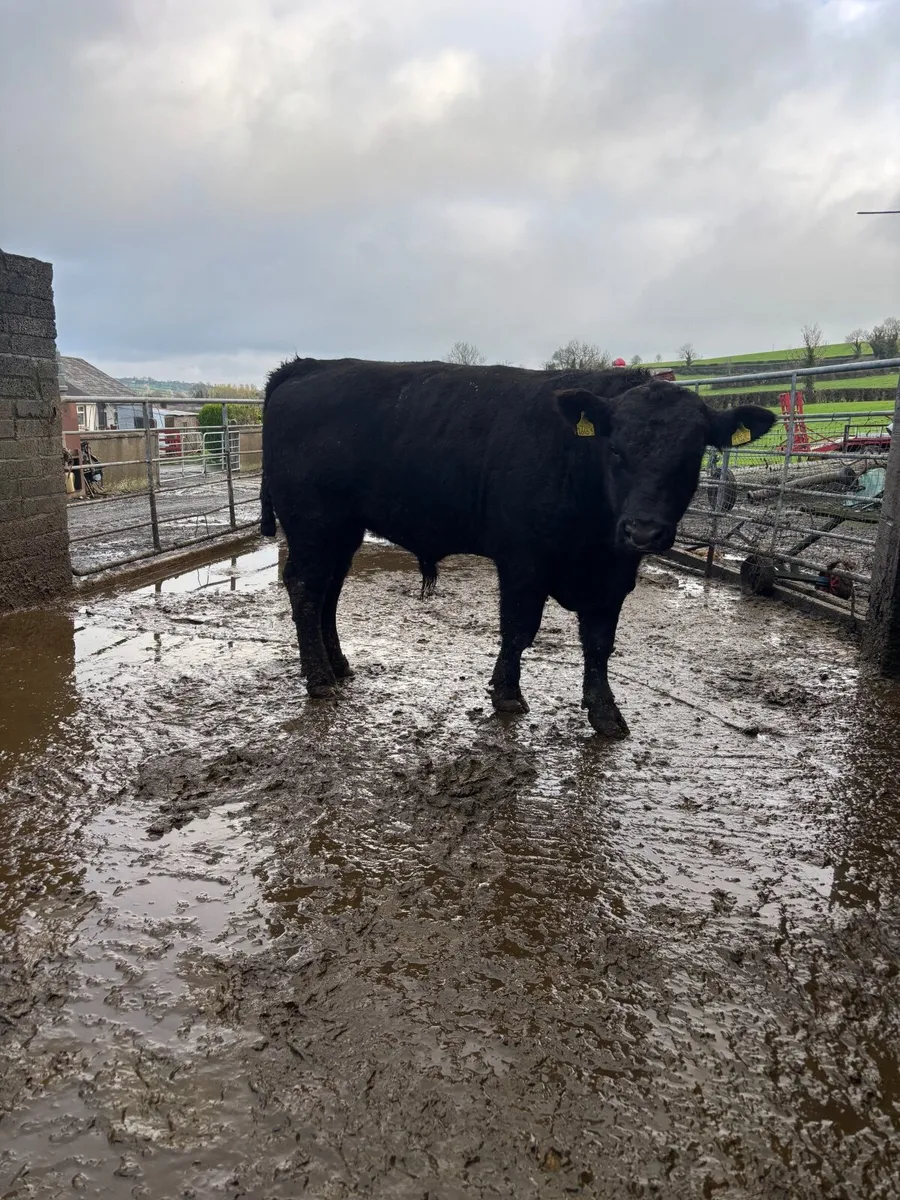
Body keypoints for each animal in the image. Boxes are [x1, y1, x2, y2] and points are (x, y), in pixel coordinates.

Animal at [260, 358, 774, 737]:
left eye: (692, 455)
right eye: (615, 449)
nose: (643, 531)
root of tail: (307, 366)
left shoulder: (613, 574)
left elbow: (599, 643)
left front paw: (605, 713)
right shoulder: (523, 560)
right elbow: (519, 629)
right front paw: (506, 693)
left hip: (342, 530)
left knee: (329, 592)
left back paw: (339, 665)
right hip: (313, 523)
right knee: (305, 589)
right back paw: (319, 680)